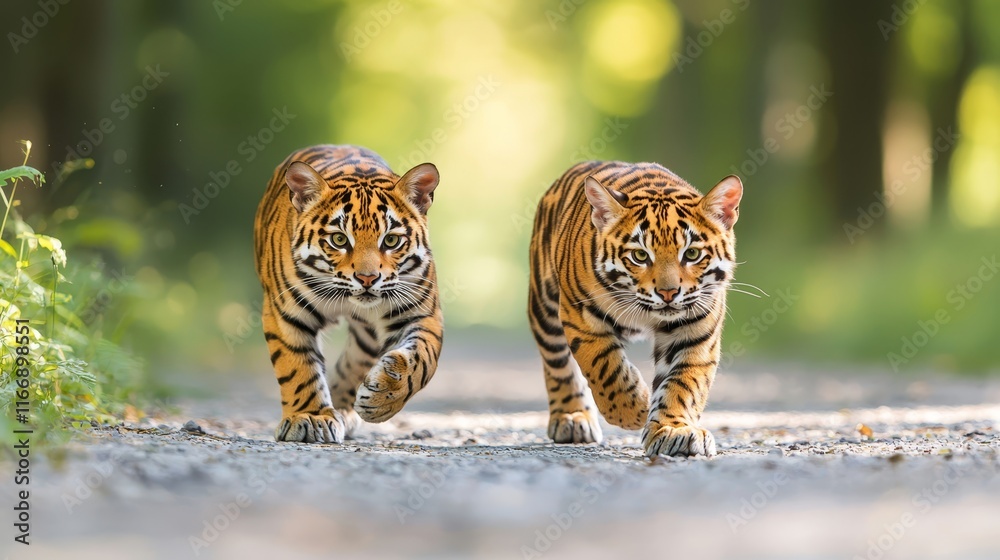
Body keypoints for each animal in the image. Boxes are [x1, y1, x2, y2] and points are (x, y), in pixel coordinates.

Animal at [253, 144, 444, 443]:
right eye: (339, 240)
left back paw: (348, 407)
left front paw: (382, 399)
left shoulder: (421, 313)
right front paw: (310, 417)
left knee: (353, 364)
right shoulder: (285, 313)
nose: (367, 278)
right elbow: (297, 368)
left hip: (368, 337)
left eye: (391, 240)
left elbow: (422, 362)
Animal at [528, 160, 743, 457]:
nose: (668, 292)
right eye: (640, 256)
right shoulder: (581, 315)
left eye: (692, 254)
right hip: (545, 308)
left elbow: (684, 383)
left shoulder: (695, 329)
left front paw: (674, 431)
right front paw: (635, 410)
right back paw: (571, 418)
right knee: (558, 362)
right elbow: (605, 367)